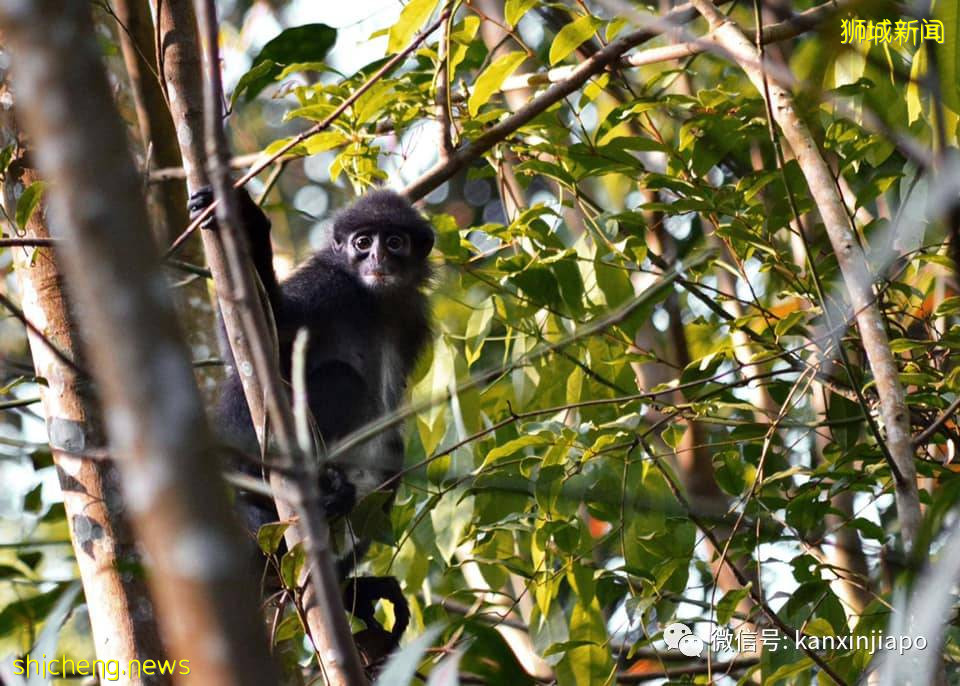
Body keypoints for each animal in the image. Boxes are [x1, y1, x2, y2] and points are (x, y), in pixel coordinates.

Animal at [188, 185, 436, 664]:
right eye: (362, 242)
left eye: (395, 242)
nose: (377, 257)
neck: (372, 300)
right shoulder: (327, 285)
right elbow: (249, 352)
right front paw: (245, 220)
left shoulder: (412, 315)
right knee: (337, 378)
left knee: (390, 454)